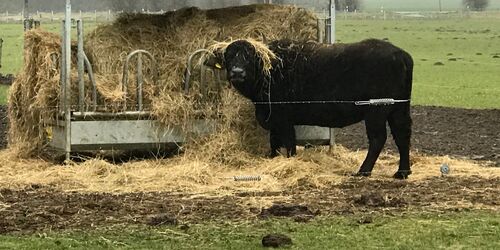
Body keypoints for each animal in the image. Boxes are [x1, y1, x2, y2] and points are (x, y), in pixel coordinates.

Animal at [221, 38, 412, 179]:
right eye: (229, 56)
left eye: (248, 56)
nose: (237, 72)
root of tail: (400, 54)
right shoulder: (274, 121)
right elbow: (274, 143)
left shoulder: (283, 120)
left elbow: (289, 143)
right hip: (398, 110)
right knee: (402, 135)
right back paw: (402, 172)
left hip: (376, 111)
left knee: (378, 139)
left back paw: (363, 171)